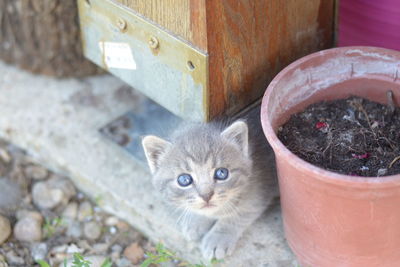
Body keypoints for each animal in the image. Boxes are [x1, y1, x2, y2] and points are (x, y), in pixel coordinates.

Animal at [142, 116, 276, 260]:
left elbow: (238, 214)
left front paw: (218, 238)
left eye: (221, 173)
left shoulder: (261, 190)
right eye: (184, 180)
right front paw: (197, 221)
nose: (206, 195)